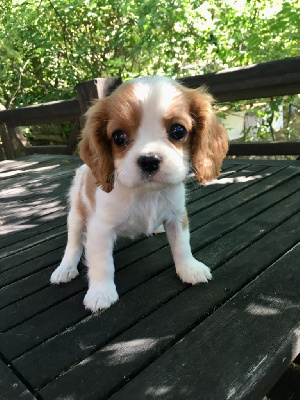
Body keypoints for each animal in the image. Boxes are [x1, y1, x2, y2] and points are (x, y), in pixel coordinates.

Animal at [51, 76, 227, 312]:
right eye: (119, 137)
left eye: (178, 131)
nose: (149, 160)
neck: (146, 193)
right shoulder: (100, 228)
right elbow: (101, 264)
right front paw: (100, 293)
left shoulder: (176, 216)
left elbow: (182, 245)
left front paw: (189, 268)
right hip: (77, 215)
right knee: (73, 244)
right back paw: (65, 268)